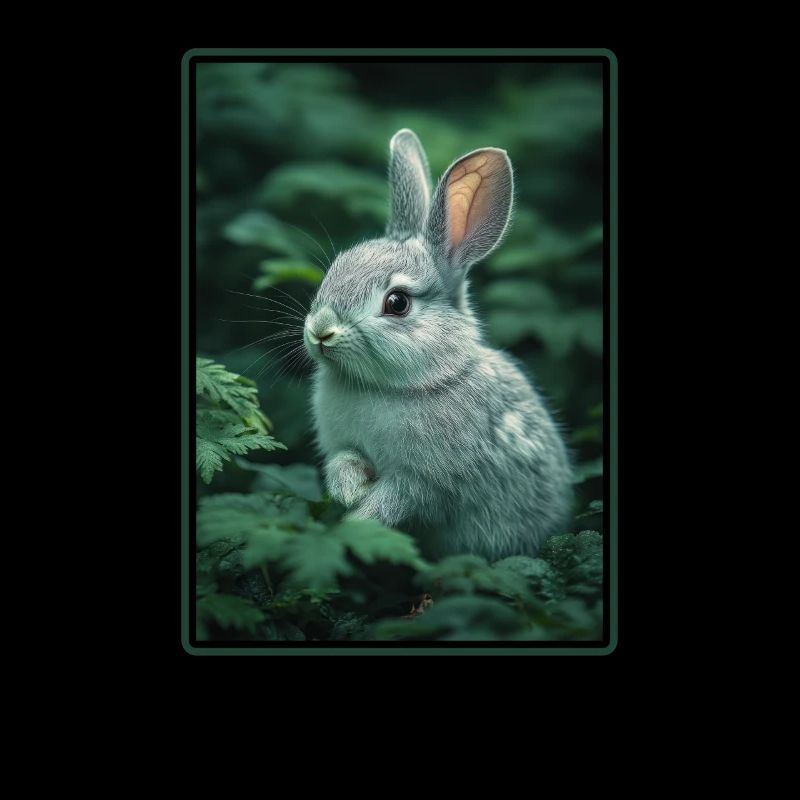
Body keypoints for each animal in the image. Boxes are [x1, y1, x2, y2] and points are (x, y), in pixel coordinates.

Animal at [303, 129, 573, 561]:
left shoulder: (426, 483)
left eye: (397, 303)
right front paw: (350, 491)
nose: (321, 331)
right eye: (336, 268)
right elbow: (343, 462)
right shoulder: (343, 447)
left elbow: (396, 500)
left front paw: (355, 523)